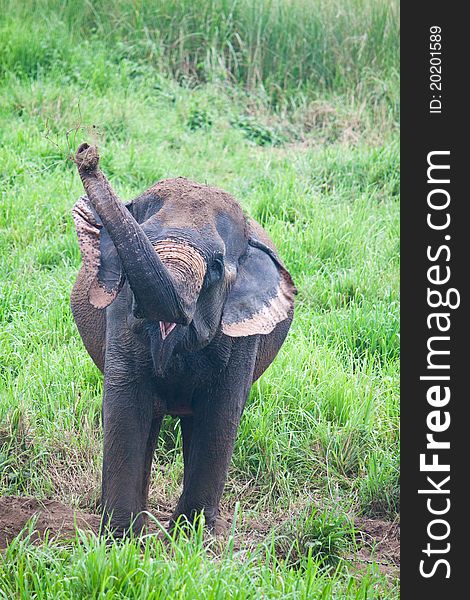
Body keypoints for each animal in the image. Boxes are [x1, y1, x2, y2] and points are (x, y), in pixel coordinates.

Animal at [70, 144, 296, 536]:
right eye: (142, 237)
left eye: (217, 267)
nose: (87, 153)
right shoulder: (120, 314)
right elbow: (125, 405)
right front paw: (121, 538)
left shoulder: (242, 337)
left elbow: (220, 414)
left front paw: (190, 535)